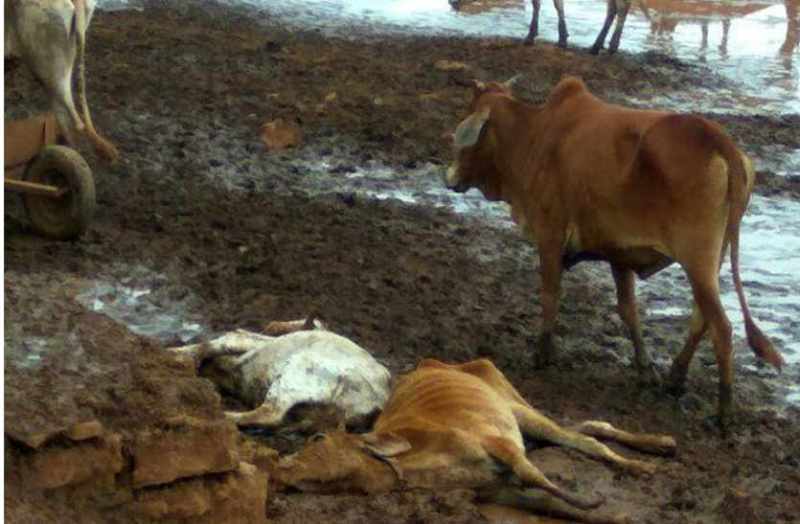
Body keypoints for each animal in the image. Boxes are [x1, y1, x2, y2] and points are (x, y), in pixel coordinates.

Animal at [275, 358, 675, 521]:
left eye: (318, 437)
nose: (278, 467)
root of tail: (434, 363)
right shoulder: (495, 490)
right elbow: (547, 503)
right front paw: (611, 515)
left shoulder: (500, 446)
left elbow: (539, 478)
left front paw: (591, 501)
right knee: (589, 427)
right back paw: (660, 444)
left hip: (515, 406)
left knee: (585, 440)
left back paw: (644, 462)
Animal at [444, 76, 784, 427]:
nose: (450, 177)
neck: (532, 135)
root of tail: (718, 140)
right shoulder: (620, 253)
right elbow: (627, 310)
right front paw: (645, 369)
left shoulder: (549, 235)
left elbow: (550, 295)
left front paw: (542, 355)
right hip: (712, 259)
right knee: (700, 318)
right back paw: (674, 378)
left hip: (697, 258)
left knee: (722, 328)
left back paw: (724, 412)